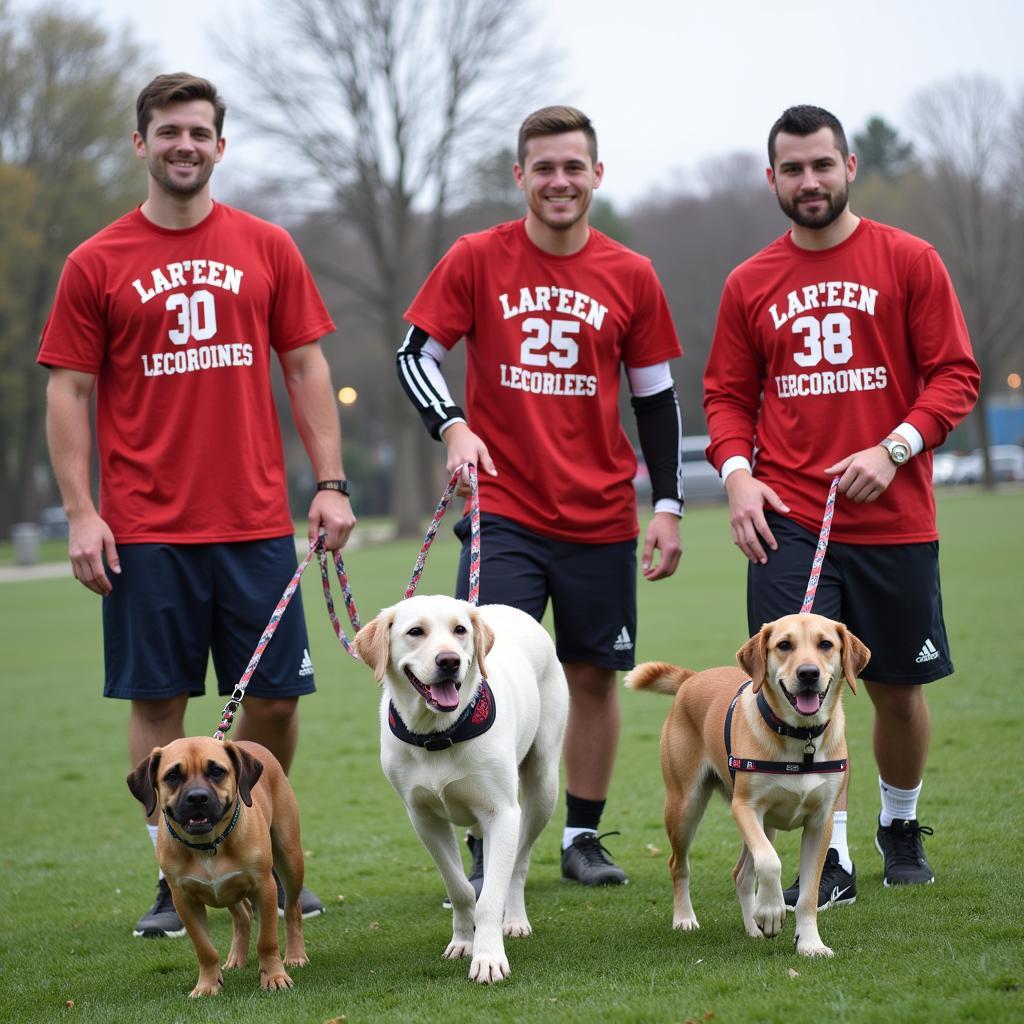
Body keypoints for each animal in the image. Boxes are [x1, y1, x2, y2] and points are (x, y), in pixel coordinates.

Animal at [126, 741, 307, 995]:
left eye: (216, 771)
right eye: (172, 776)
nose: (197, 798)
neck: (207, 845)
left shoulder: (264, 888)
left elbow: (267, 940)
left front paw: (274, 977)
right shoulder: (185, 901)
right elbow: (205, 949)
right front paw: (207, 984)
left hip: (290, 859)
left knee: (292, 908)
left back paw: (295, 955)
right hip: (228, 889)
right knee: (243, 916)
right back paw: (236, 958)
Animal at [354, 598, 569, 987]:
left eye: (459, 631)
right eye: (415, 631)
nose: (449, 661)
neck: (438, 734)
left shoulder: (503, 812)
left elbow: (491, 895)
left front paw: (489, 958)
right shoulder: (424, 818)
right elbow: (460, 888)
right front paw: (464, 942)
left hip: (543, 784)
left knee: (518, 863)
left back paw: (515, 920)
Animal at [626, 614, 868, 958]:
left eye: (825, 644)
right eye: (784, 645)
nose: (808, 673)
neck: (801, 737)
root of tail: (692, 678)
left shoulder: (821, 821)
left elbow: (807, 894)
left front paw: (809, 943)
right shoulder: (745, 807)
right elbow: (770, 861)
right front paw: (771, 911)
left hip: (765, 825)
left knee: (741, 873)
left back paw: (753, 926)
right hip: (685, 805)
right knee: (678, 864)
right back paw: (686, 918)